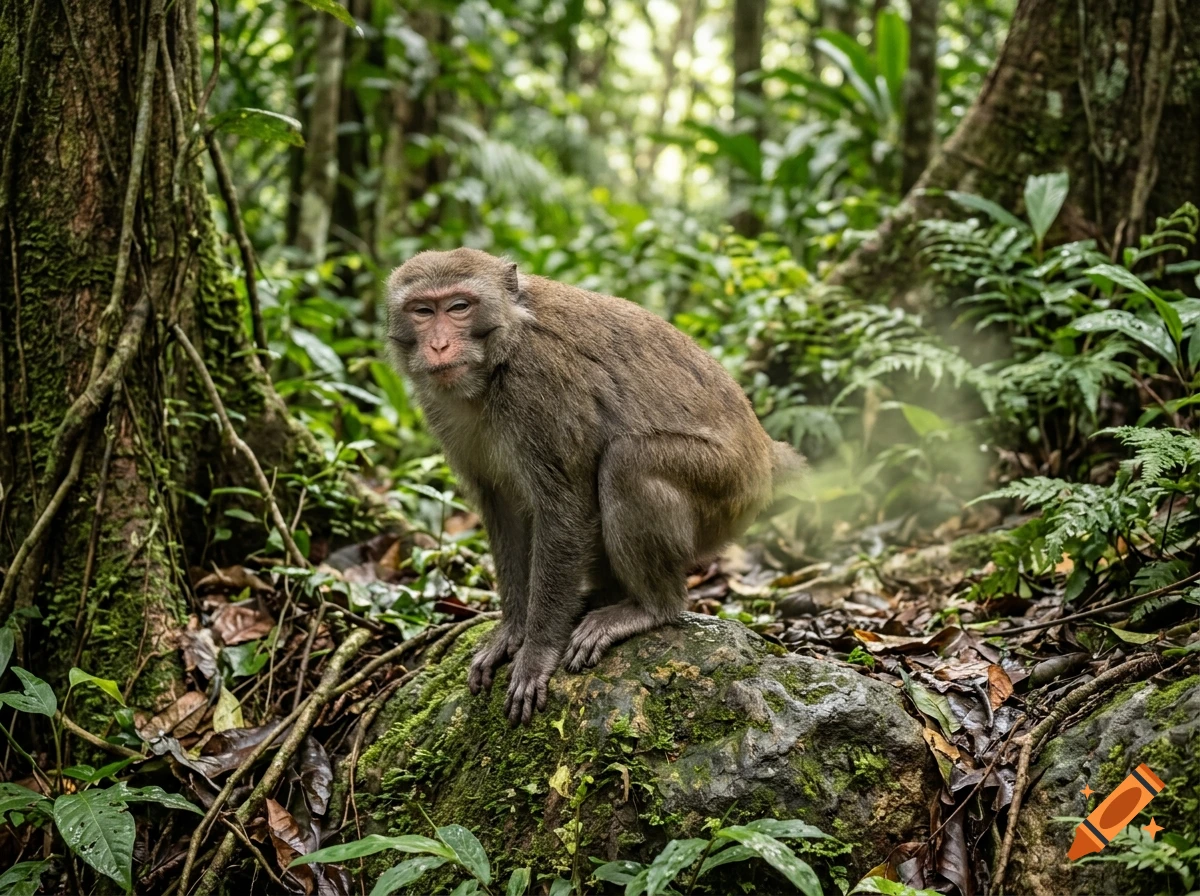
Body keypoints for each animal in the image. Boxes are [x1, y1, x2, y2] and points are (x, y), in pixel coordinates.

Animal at [385, 248, 802, 724]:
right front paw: (512, 631)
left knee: (627, 462)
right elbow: (503, 510)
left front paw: (536, 651)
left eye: (458, 307)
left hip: (727, 489)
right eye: (423, 311)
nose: (438, 345)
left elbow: (565, 508)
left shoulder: (539, 385)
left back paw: (649, 608)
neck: (498, 359)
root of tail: (765, 453)